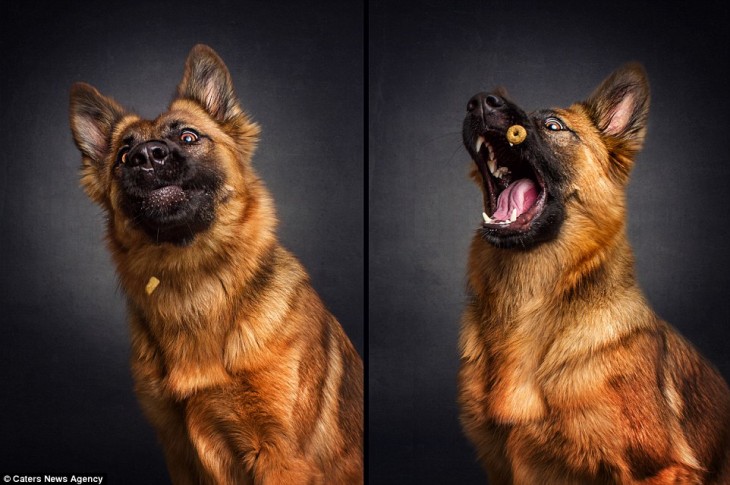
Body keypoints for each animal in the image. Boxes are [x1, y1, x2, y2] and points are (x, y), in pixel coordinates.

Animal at [69, 43, 362, 482]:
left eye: (188, 137)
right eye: (122, 155)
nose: (146, 156)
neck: (192, 277)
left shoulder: (283, 457)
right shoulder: (179, 452)